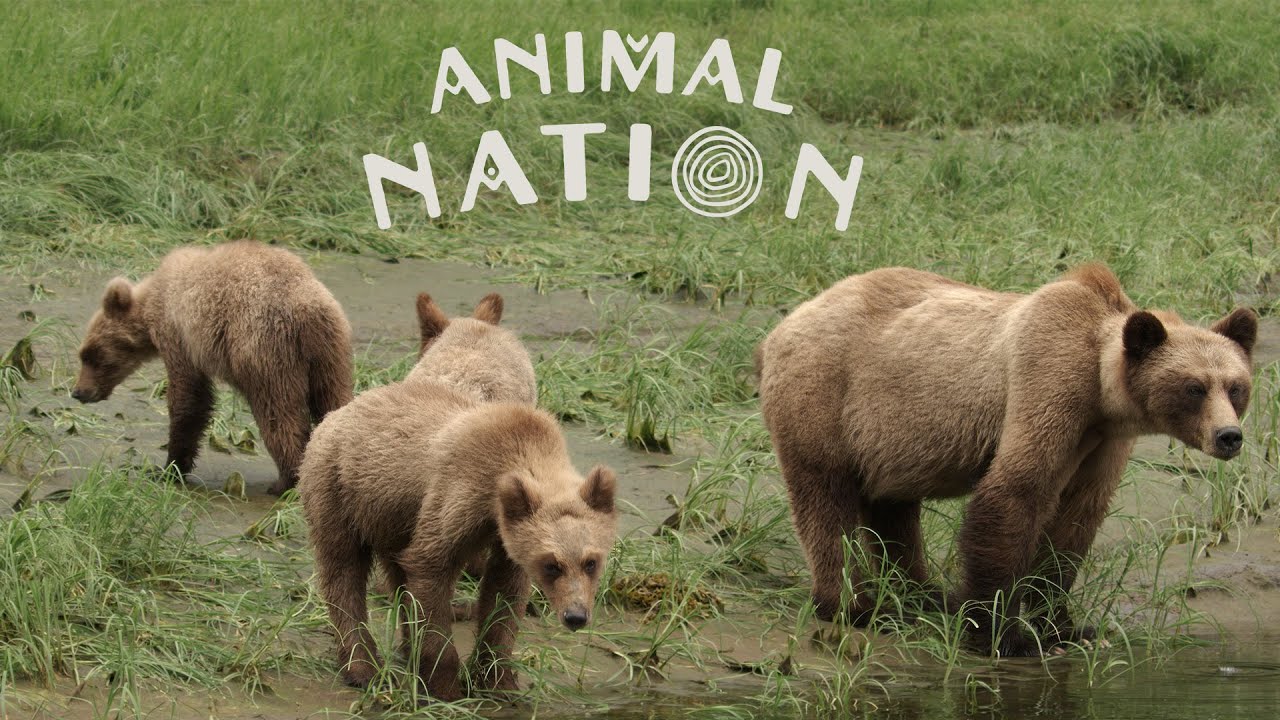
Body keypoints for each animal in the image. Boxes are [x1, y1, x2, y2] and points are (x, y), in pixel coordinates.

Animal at [72, 241, 354, 495]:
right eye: (84, 354)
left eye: (92, 355)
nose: (78, 392)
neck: (151, 302)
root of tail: (308, 309)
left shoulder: (179, 336)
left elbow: (189, 398)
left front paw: (168, 468)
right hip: (330, 354)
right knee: (334, 400)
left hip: (265, 348)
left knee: (278, 412)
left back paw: (285, 482)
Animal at [298, 378, 617, 701]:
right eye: (552, 565)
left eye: (591, 562)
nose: (575, 616)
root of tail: (337, 414)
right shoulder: (459, 496)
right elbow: (430, 568)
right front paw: (446, 685)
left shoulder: (505, 535)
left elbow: (503, 594)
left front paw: (499, 680)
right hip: (340, 490)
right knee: (344, 570)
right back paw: (363, 668)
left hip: (393, 516)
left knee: (396, 573)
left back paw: (407, 652)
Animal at [756, 263, 1256, 657]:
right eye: (1194, 387)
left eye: (1236, 386)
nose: (1229, 436)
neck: (1103, 393)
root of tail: (781, 327)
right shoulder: (1048, 379)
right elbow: (1016, 492)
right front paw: (1000, 632)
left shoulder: (1104, 441)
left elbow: (1075, 521)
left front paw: (1064, 624)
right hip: (826, 393)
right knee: (825, 498)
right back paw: (851, 606)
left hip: (890, 436)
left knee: (892, 508)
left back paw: (920, 596)